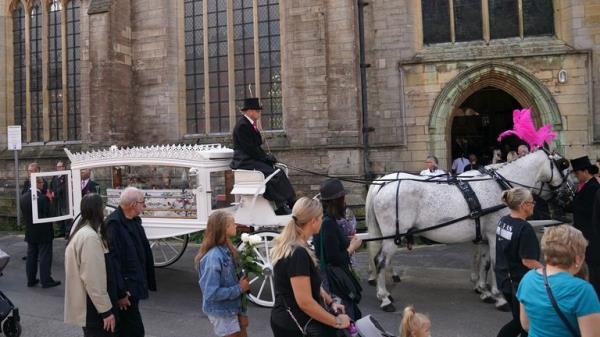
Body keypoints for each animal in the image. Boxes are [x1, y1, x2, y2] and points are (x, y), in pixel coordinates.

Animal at [366, 150, 568, 310]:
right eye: (564, 165)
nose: (570, 194)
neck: (499, 186)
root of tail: (382, 184)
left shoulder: (485, 237)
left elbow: (485, 263)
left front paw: (485, 291)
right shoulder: (495, 234)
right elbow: (496, 264)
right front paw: (499, 297)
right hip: (392, 236)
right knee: (380, 260)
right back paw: (384, 298)